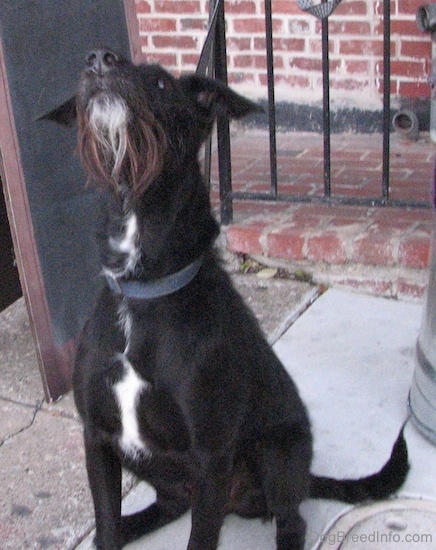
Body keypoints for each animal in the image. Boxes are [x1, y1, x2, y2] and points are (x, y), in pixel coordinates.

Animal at [44, 48, 408, 550]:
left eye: (161, 83)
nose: (99, 59)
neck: (144, 291)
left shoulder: (211, 456)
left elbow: (201, 537)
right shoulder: (98, 437)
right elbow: (106, 521)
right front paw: (110, 532)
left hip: (277, 452)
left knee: (291, 519)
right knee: (162, 508)